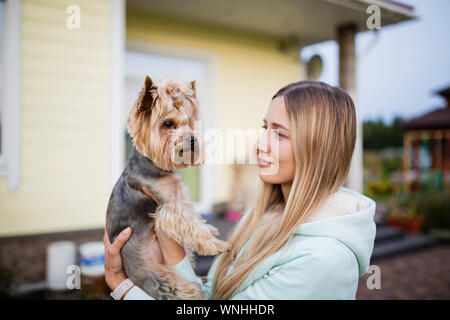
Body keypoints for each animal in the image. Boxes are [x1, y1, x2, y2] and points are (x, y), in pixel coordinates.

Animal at [106, 75, 229, 300]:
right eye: (168, 124)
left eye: (190, 123)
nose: (193, 139)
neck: (156, 165)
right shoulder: (169, 205)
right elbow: (191, 225)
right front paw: (215, 244)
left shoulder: (179, 195)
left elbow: (195, 218)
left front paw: (210, 230)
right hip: (155, 276)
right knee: (179, 288)